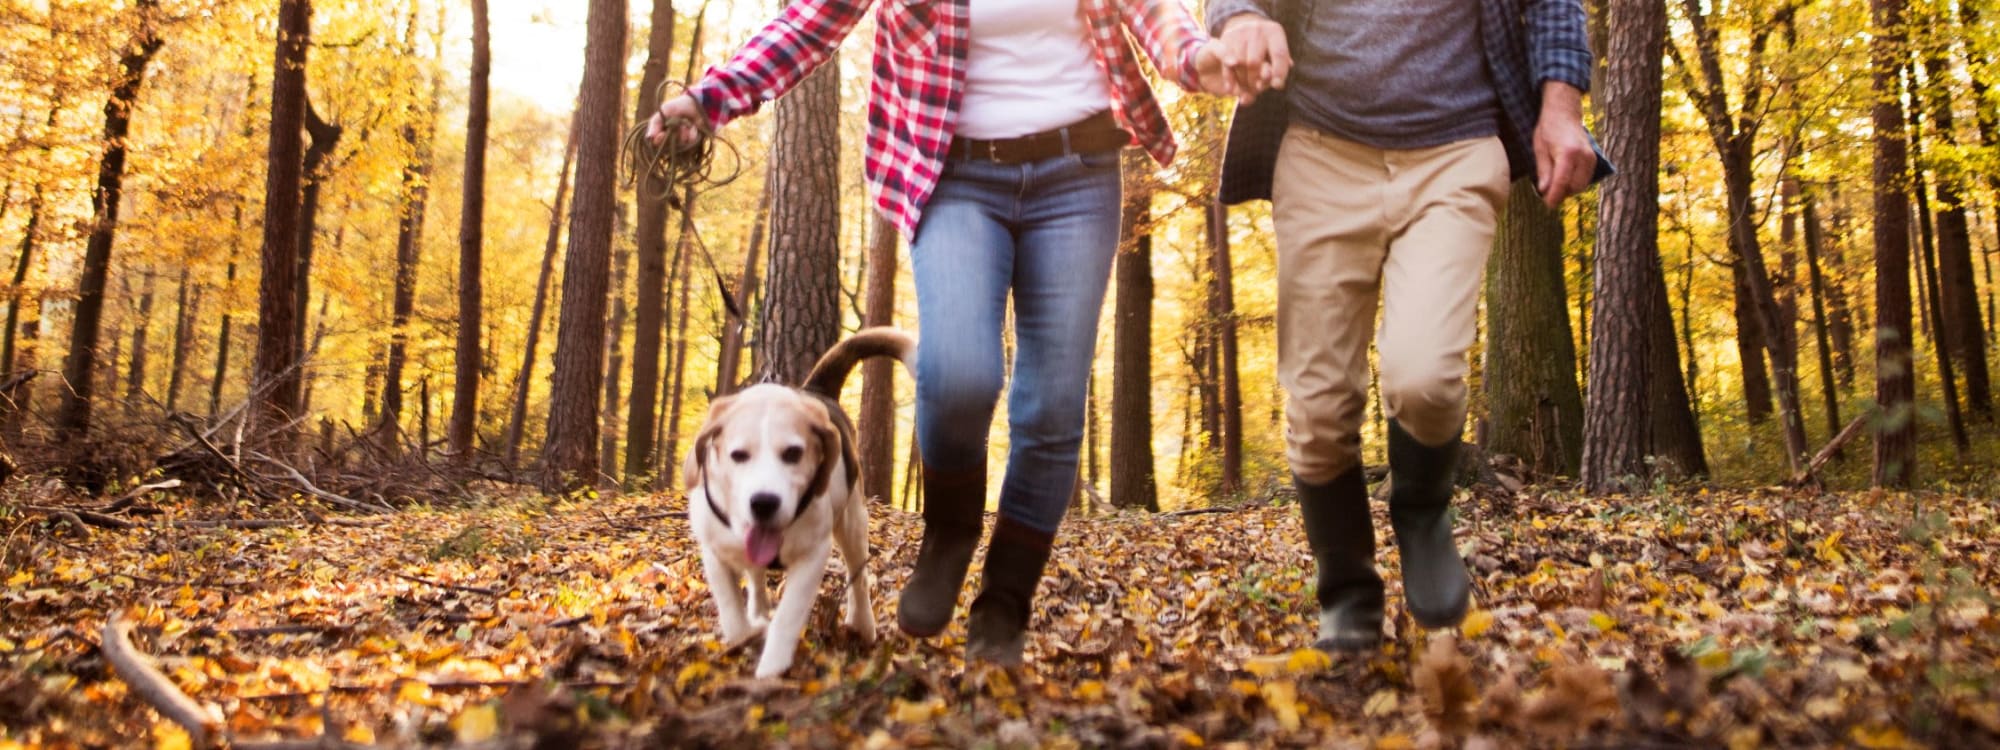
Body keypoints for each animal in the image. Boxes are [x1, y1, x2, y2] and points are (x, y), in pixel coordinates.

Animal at [680, 326, 916, 680]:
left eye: (793, 453)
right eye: (738, 455)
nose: (764, 502)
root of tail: (815, 390)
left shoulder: (813, 555)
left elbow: (789, 616)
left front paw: (771, 669)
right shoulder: (713, 551)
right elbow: (732, 613)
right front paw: (747, 632)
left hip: (853, 523)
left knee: (859, 577)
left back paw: (862, 624)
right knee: (756, 578)